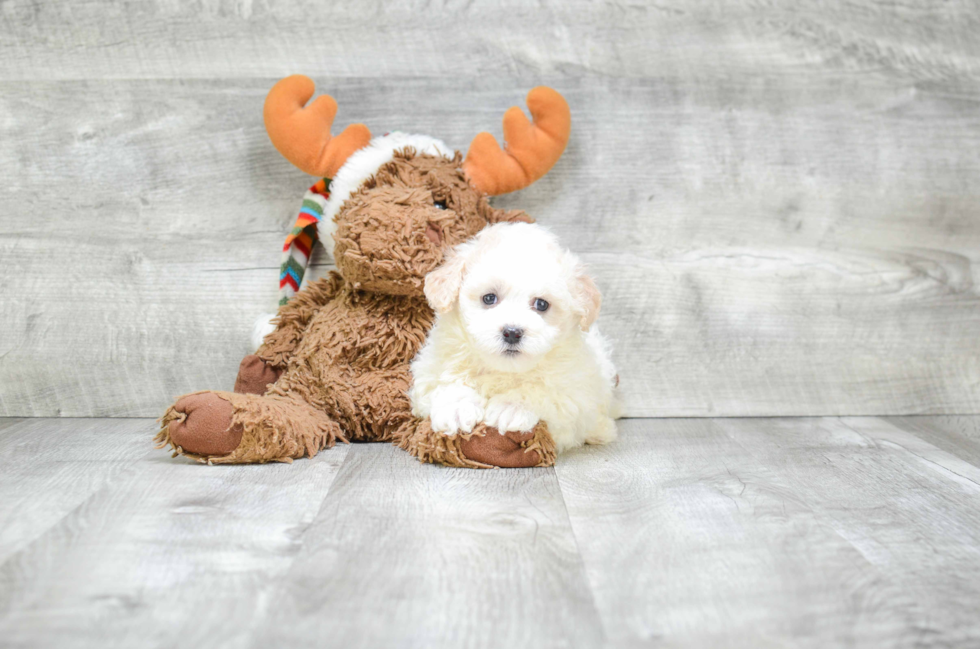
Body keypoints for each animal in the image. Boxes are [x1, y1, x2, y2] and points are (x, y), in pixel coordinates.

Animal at [410, 221, 616, 450]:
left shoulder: (574, 399)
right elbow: (446, 383)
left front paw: (510, 407)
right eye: (489, 298)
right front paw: (456, 407)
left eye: (541, 304)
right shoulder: (429, 373)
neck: (503, 370)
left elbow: (542, 390)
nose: (512, 332)